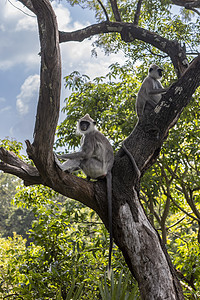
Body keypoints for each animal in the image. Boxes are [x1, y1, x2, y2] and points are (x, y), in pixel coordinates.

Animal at [54, 113, 114, 278]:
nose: (84, 127)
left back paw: (61, 167)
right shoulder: (84, 136)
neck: (90, 131)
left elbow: (84, 154)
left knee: (84, 159)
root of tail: (108, 171)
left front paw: (58, 156)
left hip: (96, 168)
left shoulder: (89, 138)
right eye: (83, 123)